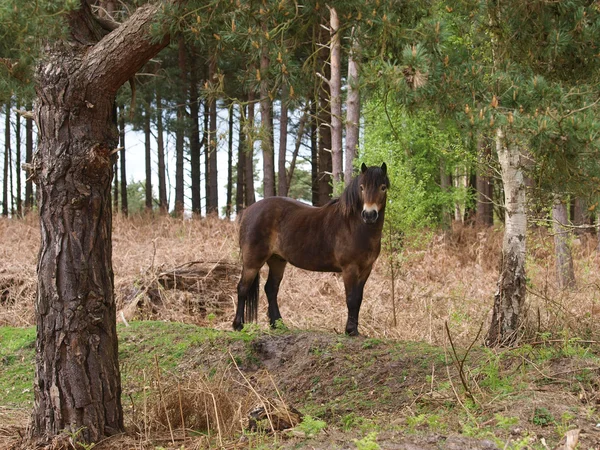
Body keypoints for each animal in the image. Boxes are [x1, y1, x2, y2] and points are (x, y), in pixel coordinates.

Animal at [234, 163, 390, 336]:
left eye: (383, 187)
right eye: (362, 188)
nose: (369, 215)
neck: (354, 226)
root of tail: (247, 211)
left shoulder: (366, 269)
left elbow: (358, 299)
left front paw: (354, 330)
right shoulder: (350, 269)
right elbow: (351, 299)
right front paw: (351, 330)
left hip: (277, 261)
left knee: (271, 289)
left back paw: (278, 325)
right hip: (252, 262)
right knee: (242, 288)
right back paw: (238, 325)